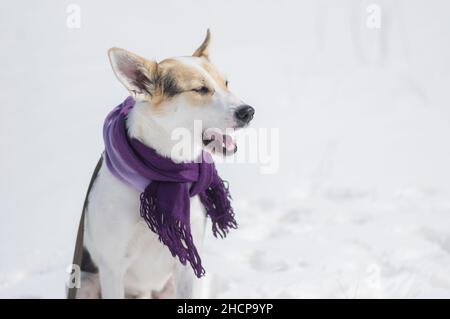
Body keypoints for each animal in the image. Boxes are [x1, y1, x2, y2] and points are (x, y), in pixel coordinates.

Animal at [75, 31, 255, 298]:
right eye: (201, 89)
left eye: (226, 83)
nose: (248, 112)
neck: (165, 174)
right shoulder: (112, 269)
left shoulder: (187, 263)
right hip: (85, 281)